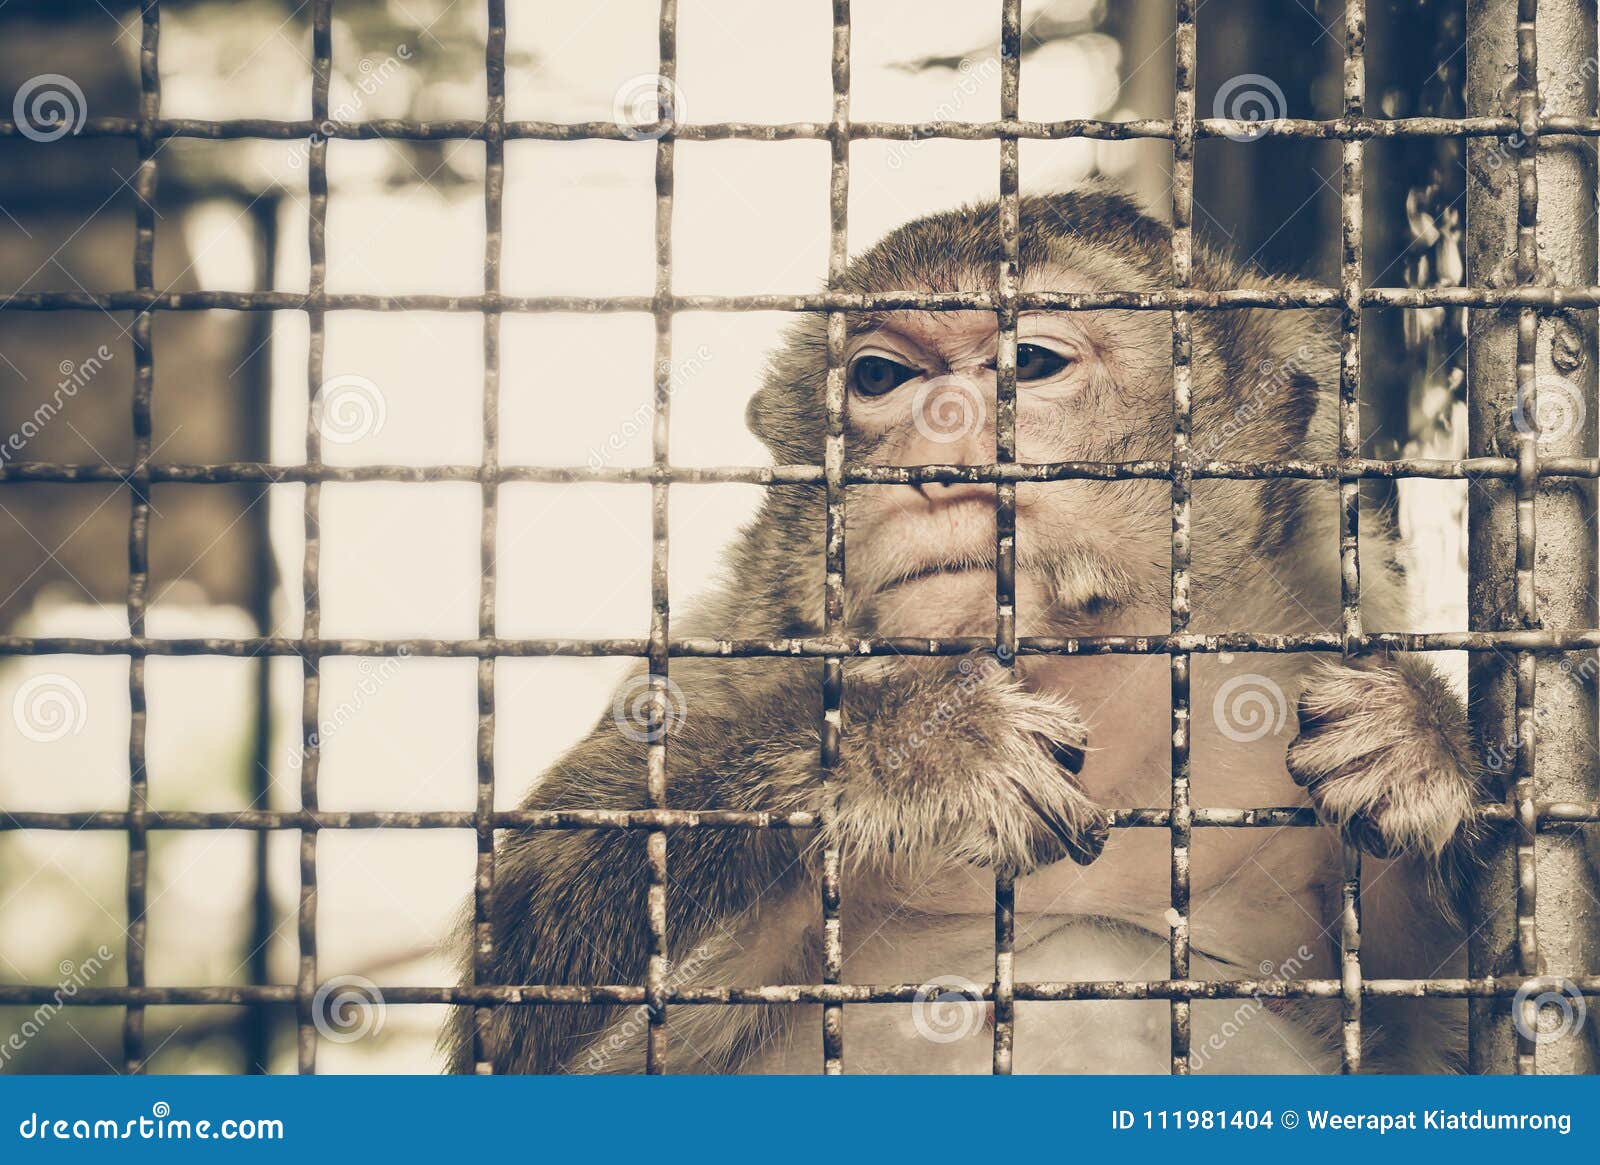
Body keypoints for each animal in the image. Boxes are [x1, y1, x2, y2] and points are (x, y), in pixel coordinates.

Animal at [444, 186, 1488, 1075]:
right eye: (878, 377)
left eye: (1030, 363)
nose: (937, 458)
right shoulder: (726, 653)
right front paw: (919, 746)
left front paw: (1419, 734)